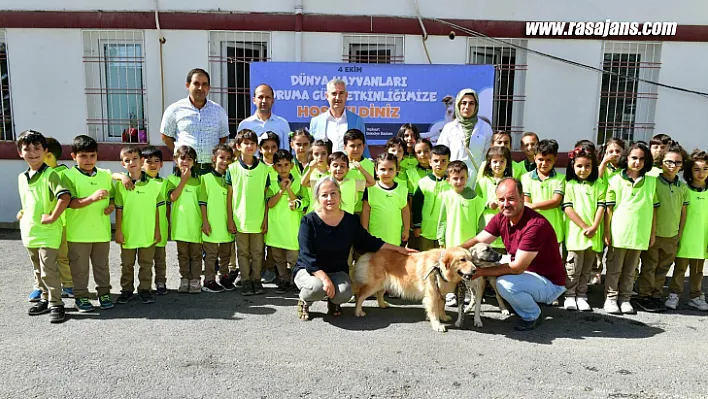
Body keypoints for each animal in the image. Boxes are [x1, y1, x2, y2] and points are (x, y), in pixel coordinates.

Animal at [354, 245, 482, 332]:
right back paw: (358, 311)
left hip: (383, 283)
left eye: (471, 259)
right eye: (462, 259)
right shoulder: (432, 295)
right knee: (360, 295)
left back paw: (382, 304)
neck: (439, 268)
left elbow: (441, 307)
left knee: (379, 294)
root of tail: (371, 253)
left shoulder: (441, 294)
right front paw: (437, 325)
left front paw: (444, 317)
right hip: (374, 284)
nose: (475, 270)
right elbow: (434, 311)